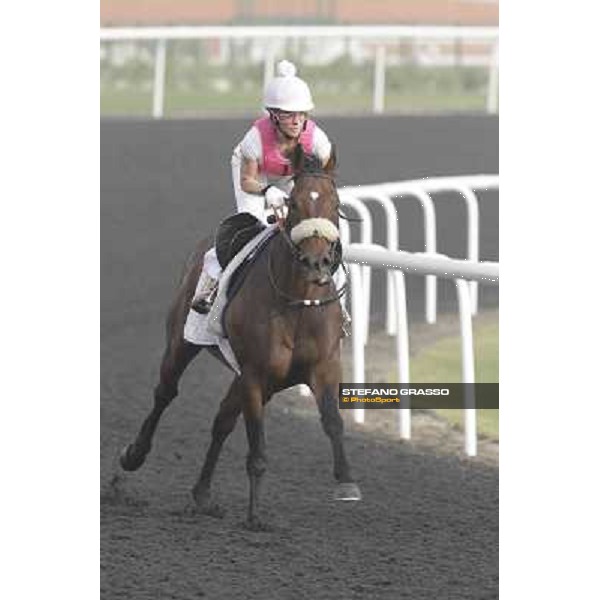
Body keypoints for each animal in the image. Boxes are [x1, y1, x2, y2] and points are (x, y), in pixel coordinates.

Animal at [119, 145, 358, 528]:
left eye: (335, 203)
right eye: (293, 203)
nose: (317, 262)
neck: (298, 302)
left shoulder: (322, 367)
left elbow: (333, 422)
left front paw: (347, 482)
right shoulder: (255, 375)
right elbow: (257, 448)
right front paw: (255, 515)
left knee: (222, 421)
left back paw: (202, 494)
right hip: (183, 344)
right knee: (165, 393)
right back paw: (134, 455)